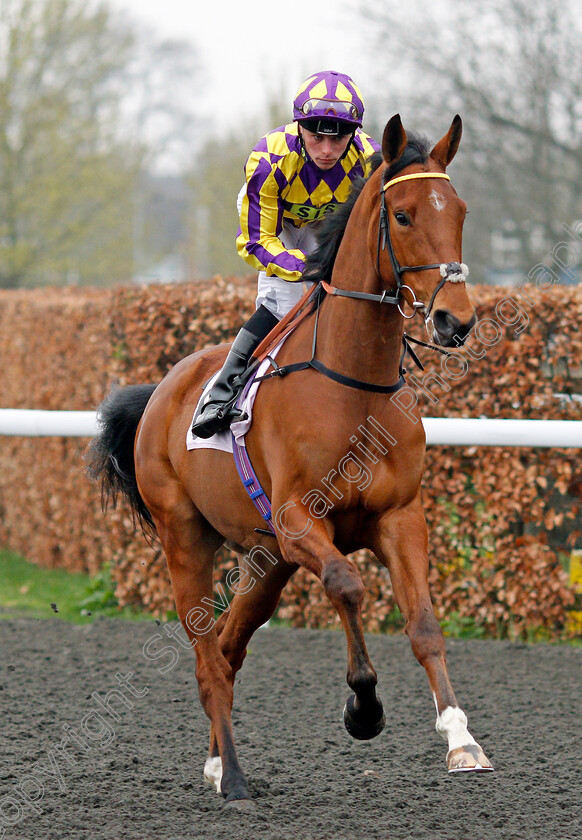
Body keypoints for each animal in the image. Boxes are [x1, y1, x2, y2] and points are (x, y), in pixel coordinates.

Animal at [89, 115, 496, 812]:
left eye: (461, 210)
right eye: (404, 215)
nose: (456, 320)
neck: (352, 385)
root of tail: (159, 394)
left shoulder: (400, 517)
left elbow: (423, 624)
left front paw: (461, 740)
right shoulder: (300, 520)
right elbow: (347, 585)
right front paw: (364, 707)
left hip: (265, 560)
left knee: (230, 648)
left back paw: (216, 763)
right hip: (186, 539)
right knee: (207, 657)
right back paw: (235, 778)